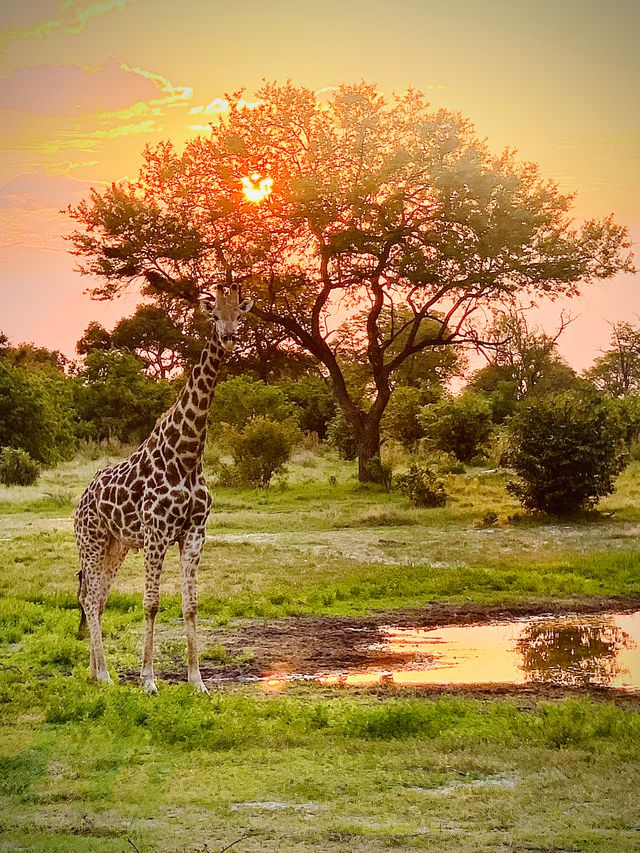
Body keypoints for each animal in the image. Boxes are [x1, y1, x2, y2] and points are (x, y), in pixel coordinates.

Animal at [75, 284, 252, 692]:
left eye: (240, 314)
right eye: (213, 314)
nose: (229, 337)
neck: (186, 456)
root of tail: (80, 501)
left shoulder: (194, 533)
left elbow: (191, 605)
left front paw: (197, 681)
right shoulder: (157, 533)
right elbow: (151, 604)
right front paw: (148, 681)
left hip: (117, 545)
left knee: (98, 598)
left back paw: (95, 672)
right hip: (91, 541)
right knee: (89, 599)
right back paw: (106, 676)